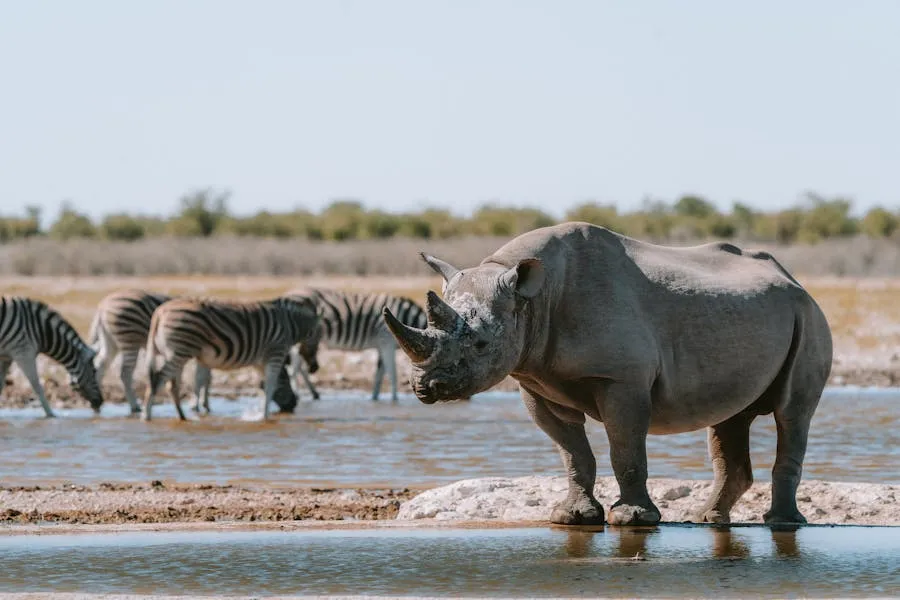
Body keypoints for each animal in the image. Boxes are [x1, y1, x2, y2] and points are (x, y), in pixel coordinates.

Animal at [384, 222, 832, 526]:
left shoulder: (622, 380)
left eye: (479, 344)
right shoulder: (535, 380)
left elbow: (625, 448)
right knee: (729, 419)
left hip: (808, 315)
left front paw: (632, 520)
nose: (425, 387)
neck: (532, 299)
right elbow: (572, 452)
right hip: (756, 315)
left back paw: (781, 523)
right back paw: (707, 519)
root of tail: (794, 279)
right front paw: (572, 517)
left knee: (791, 414)